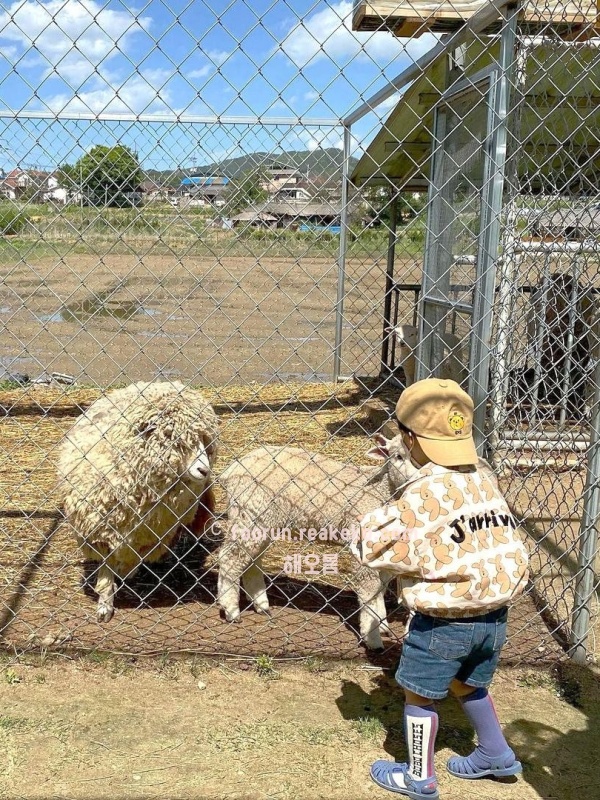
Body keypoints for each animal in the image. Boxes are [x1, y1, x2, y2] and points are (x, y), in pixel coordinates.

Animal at [57, 381, 218, 622]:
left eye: (204, 441)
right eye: (176, 441)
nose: (205, 470)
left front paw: (126, 572)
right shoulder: (101, 529)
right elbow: (106, 567)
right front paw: (105, 604)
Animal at [216, 433, 420, 650]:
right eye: (398, 456)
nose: (415, 479)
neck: (382, 489)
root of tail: (233, 468)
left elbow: (380, 587)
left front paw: (382, 625)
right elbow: (370, 590)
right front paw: (373, 638)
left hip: (263, 521)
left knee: (252, 560)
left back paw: (261, 605)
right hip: (250, 513)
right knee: (230, 558)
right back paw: (231, 609)